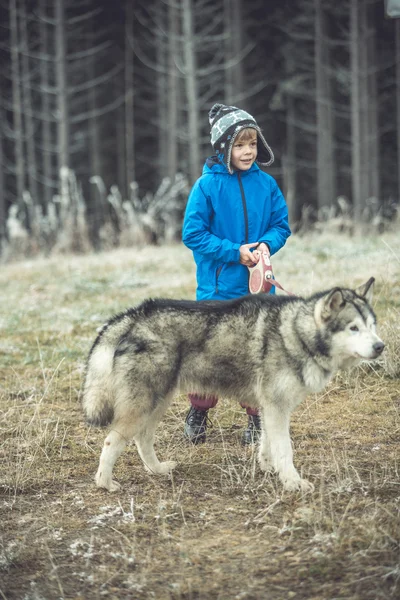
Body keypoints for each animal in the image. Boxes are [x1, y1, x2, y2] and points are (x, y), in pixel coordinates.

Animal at [82, 276, 384, 492]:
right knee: (112, 440)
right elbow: (285, 449)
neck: (296, 334)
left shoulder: (270, 408)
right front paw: (293, 482)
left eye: (372, 325)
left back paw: (157, 469)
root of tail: (134, 315)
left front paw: (268, 466)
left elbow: (267, 442)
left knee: (142, 439)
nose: (380, 346)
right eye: (353, 328)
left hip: (158, 402)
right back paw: (105, 483)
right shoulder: (276, 407)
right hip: (144, 404)